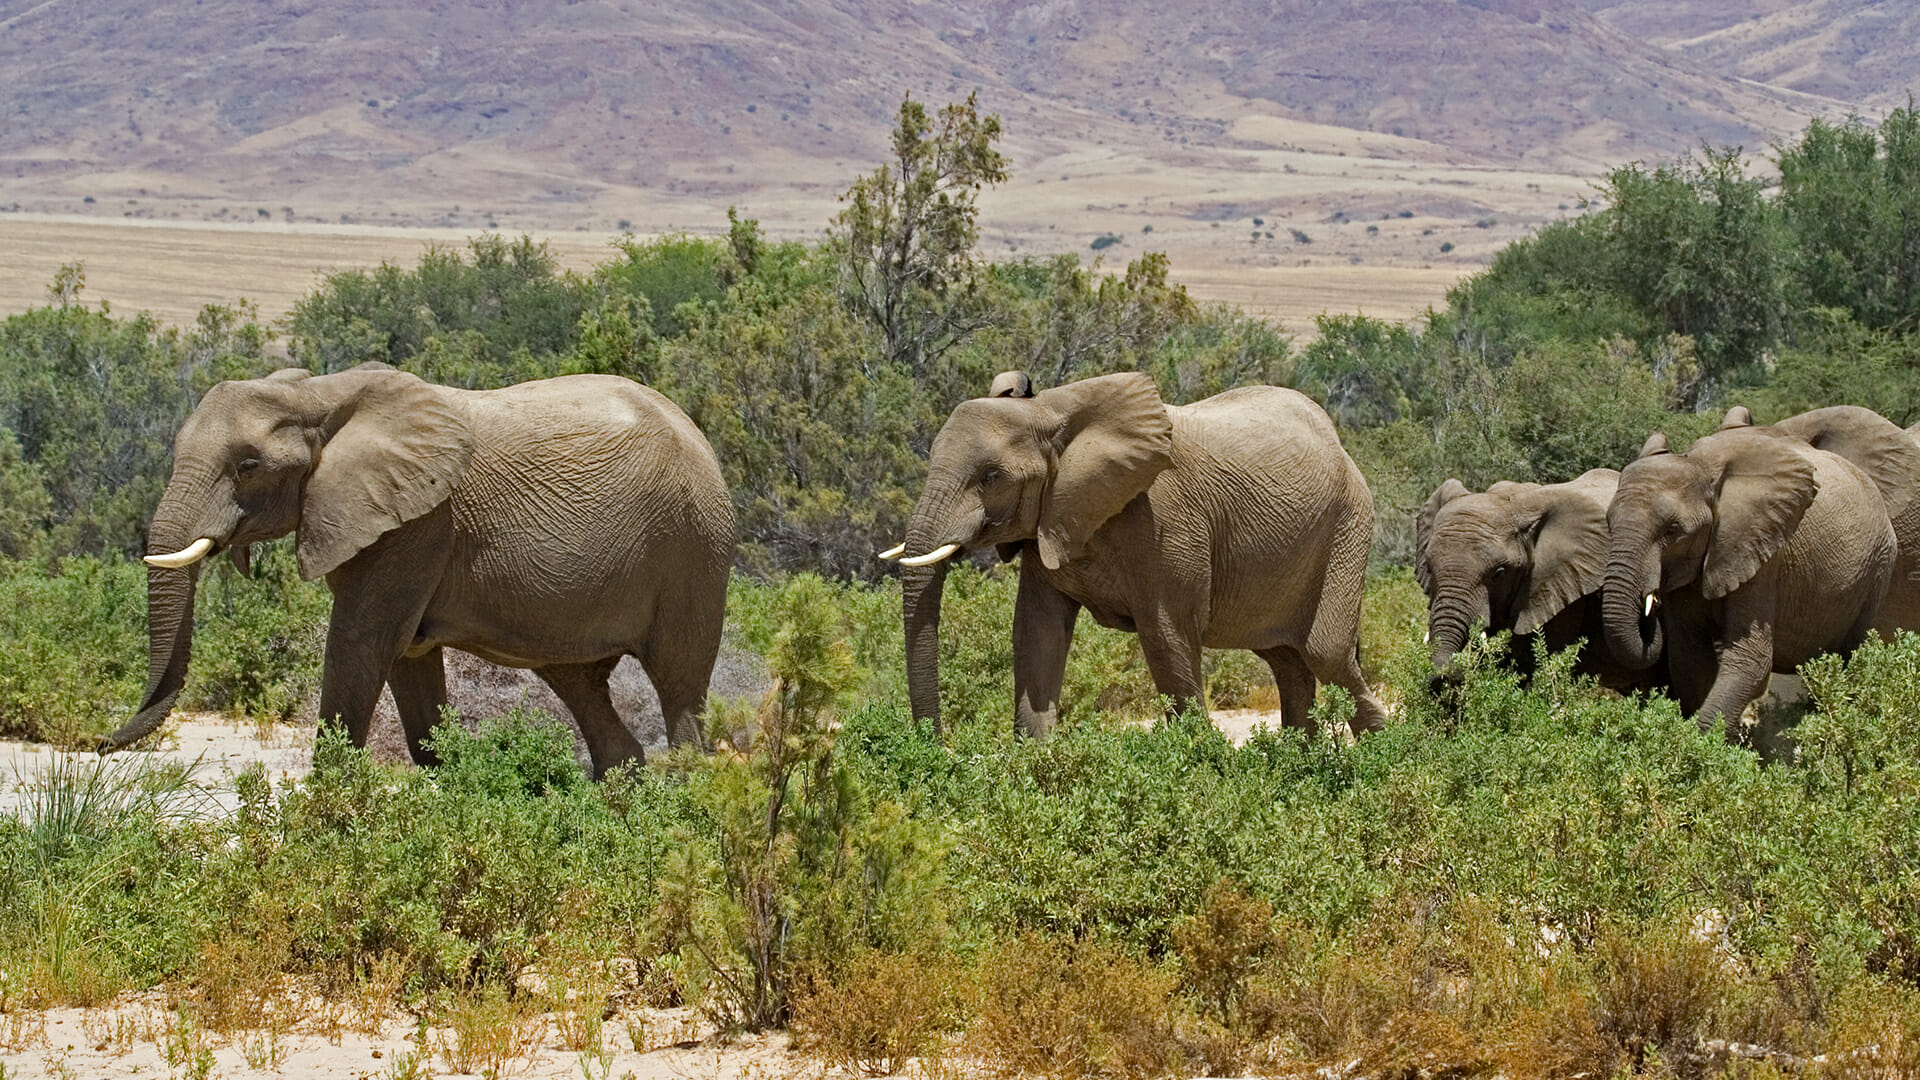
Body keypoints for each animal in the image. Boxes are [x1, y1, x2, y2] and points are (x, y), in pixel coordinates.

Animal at [107, 361, 733, 772]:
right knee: (584, 690)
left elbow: (359, 645)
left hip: (694, 547)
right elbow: (409, 664)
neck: (320, 394)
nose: (99, 743)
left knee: (679, 688)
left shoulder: (421, 523)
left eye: (248, 466)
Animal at [879, 372, 1390, 737]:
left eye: (990, 477)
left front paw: (1203, 764)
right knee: (1288, 663)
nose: (937, 746)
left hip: (1349, 522)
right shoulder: (1051, 521)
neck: (1053, 410)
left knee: (1326, 655)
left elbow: (1167, 639)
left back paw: (1385, 759)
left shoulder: (1165, 520)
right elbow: (1036, 634)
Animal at [1597, 417, 1896, 726]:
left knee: (1848, 656)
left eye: (1673, 531)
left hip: (1879, 565)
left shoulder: (1761, 551)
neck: (1700, 467)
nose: (1650, 607)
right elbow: (1689, 660)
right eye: (1609, 524)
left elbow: (1750, 660)